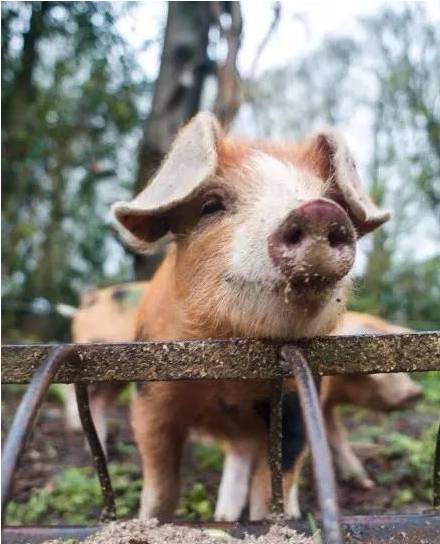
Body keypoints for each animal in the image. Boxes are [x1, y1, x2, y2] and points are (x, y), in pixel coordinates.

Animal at [111, 111, 390, 524]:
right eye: (211, 205)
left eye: (327, 198)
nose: (318, 211)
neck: (232, 384)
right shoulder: (150, 391)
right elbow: (159, 477)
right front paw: (149, 520)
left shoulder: (294, 403)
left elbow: (276, 482)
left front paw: (271, 522)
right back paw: (225, 518)